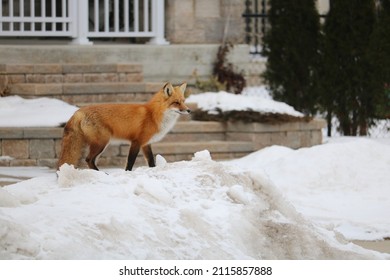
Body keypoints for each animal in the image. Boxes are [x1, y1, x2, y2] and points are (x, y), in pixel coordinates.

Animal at [57, 82, 190, 171]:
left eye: (183, 101)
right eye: (176, 102)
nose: (189, 110)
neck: (153, 115)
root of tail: (79, 111)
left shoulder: (146, 143)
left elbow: (151, 161)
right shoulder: (136, 142)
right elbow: (130, 161)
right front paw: (128, 173)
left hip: (100, 144)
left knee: (90, 160)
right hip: (102, 143)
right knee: (88, 159)